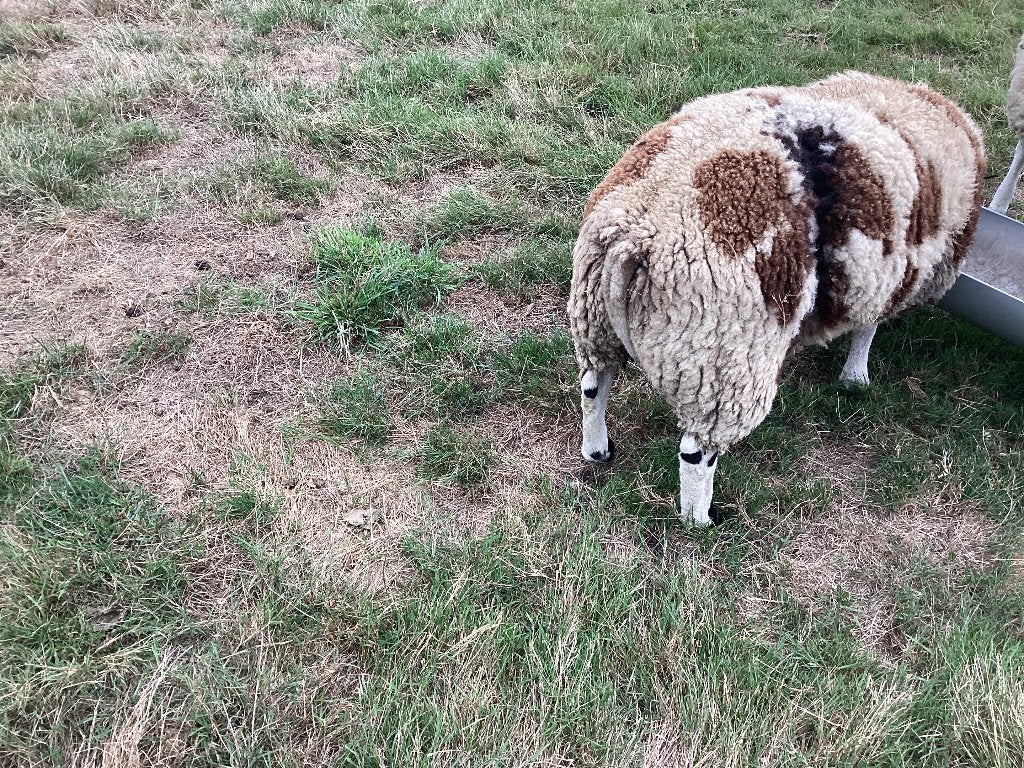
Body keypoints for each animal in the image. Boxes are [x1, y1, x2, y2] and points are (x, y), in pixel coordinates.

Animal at [567, 71, 986, 526]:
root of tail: (632, 234)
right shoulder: (887, 276)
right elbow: (868, 328)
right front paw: (856, 376)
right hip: (720, 358)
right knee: (696, 452)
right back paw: (700, 520)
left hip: (595, 318)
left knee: (593, 385)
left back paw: (597, 451)